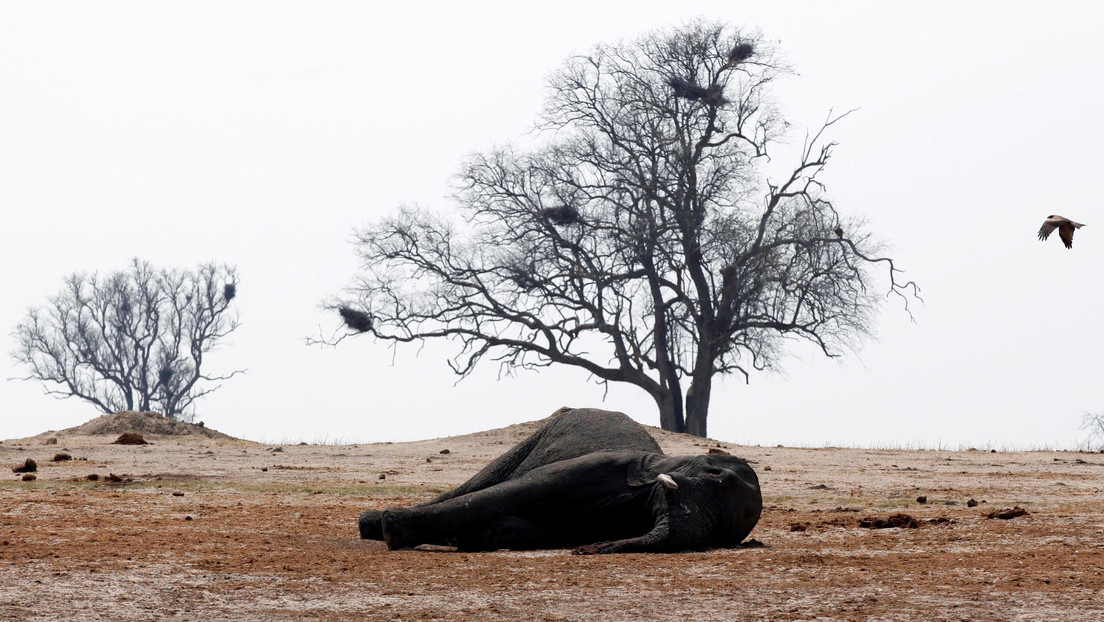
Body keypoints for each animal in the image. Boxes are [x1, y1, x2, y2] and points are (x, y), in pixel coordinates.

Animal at [358, 407, 762, 554]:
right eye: (715, 475)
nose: (587, 551)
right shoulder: (606, 463)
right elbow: (516, 492)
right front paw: (393, 529)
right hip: (536, 435)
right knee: (478, 486)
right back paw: (372, 524)